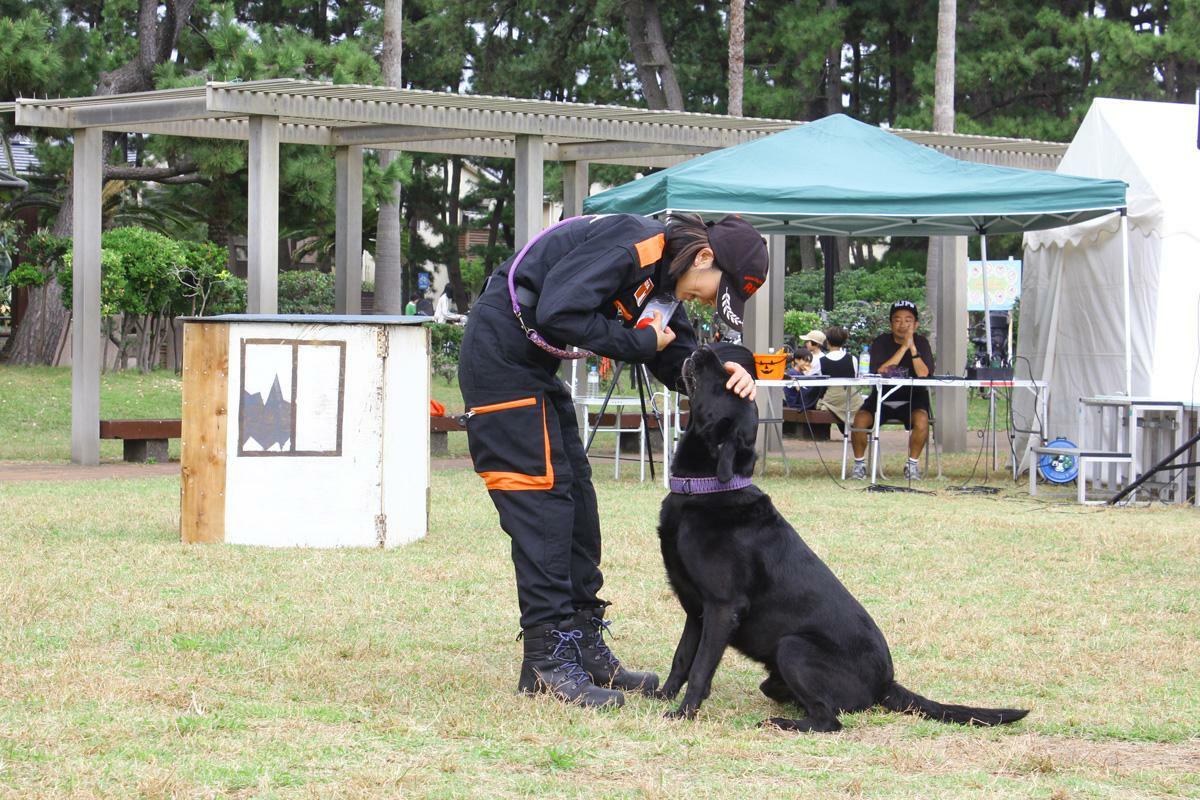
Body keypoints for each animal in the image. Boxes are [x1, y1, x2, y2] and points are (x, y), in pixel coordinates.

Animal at [657, 345, 1032, 734]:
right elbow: (682, 657)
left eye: (725, 385)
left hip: (792, 647)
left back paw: (781, 722)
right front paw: (661, 696)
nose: (704, 349)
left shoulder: (722, 607)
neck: (707, 489)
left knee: (829, 720)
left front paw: (683, 712)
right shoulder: (696, 608)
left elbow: (701, 666)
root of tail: (886, 684)